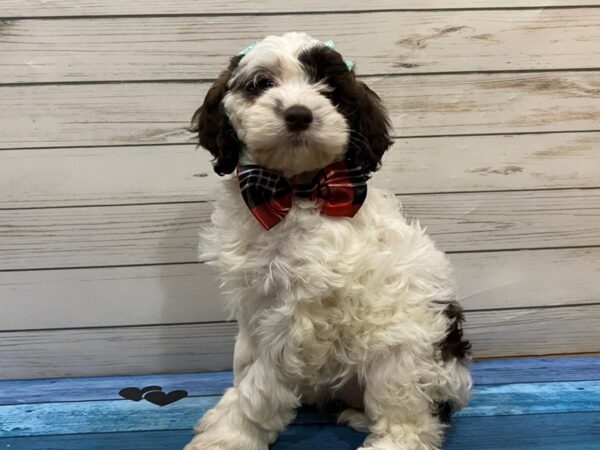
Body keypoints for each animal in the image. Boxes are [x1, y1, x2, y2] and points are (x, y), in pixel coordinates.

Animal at [185, 32, 472, 450]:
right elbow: (244, 364)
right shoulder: (255, 304)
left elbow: (262, 382)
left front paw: (233, 434)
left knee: (411, 420)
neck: (293, 193)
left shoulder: (299, 316)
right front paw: (228, 414)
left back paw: (388, 440)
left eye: (330, 90)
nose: (298, 114)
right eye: (261, 83)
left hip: (403, 355)